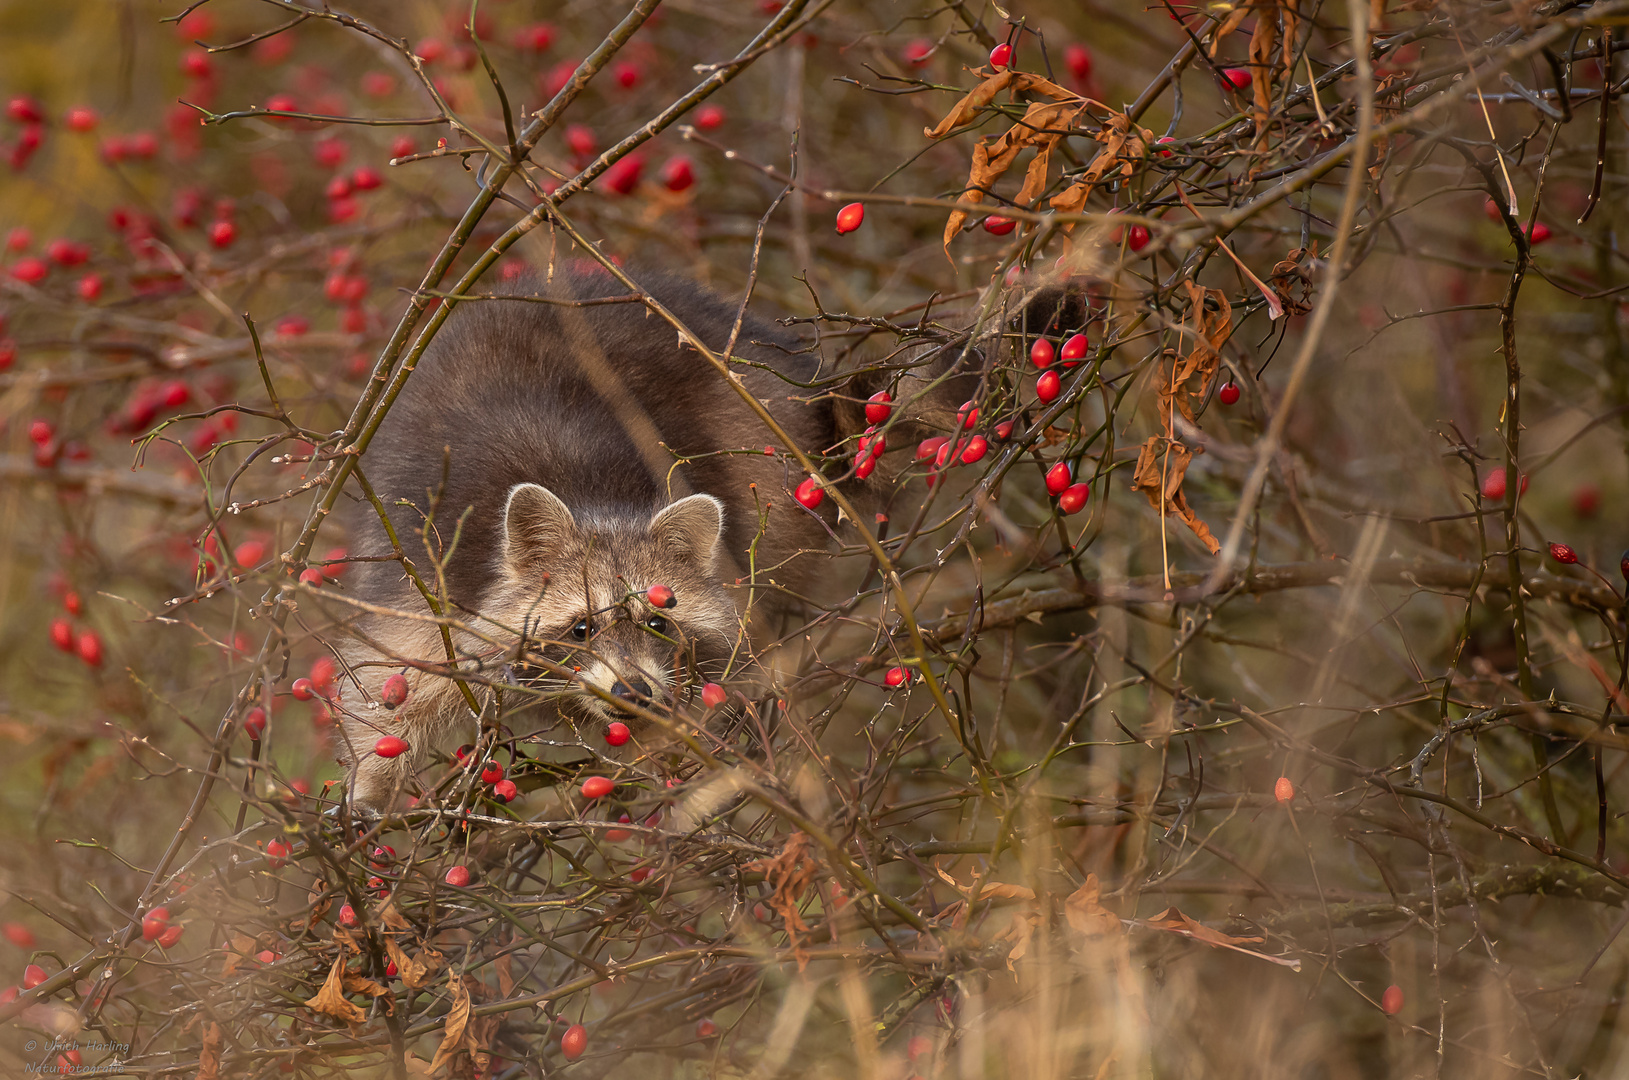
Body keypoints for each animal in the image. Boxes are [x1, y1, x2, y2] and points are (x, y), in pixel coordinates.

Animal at [335, 270, 925, 811]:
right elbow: (394, 682)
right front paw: (371, 780)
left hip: (764, 456)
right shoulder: (428, 573)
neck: (598, 503)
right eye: (580, 629)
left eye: (658, 624)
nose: (633, 692)